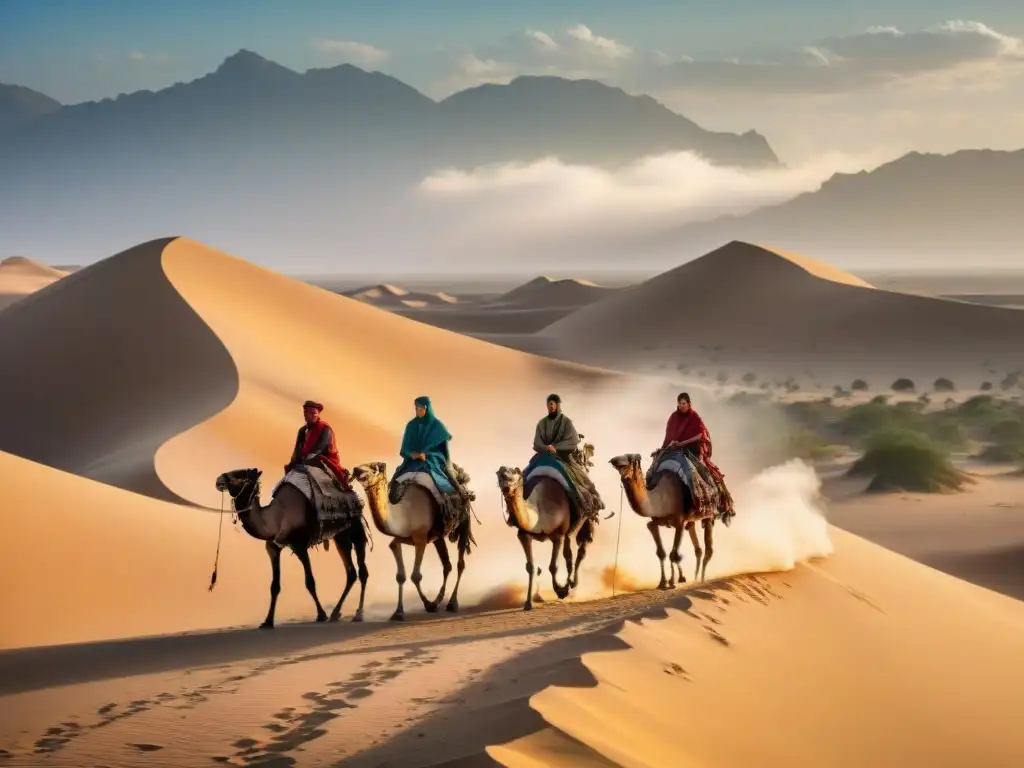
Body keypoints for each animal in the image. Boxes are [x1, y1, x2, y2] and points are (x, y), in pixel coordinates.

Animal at [211, 468, 368, 630]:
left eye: (240, 474)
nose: (219, 480)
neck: (276, 517)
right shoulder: (273, 547)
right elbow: (275, 586)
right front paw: (268, 621)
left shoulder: (299, 546)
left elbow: (310, 582)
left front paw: (321, 615)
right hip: (340, 536)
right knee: (352, 572)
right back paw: (337, 613)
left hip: (354, 528)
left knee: (362, 570)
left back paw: (357, 614)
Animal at [350, 462, 473, 618]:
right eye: (360, 466)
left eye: (373, 468)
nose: (356, 470)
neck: (405, 513)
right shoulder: (398, 540)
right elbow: (400, 575)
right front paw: (398, 612)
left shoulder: (421, 540)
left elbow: (416, 576)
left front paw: (428, 604)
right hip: (437, 536)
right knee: (447, 565)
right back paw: (439, 599)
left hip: (464, 521)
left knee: (460, 564)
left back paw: (452, 603)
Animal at [493, 462, 593, 614]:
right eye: (500, 475)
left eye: (514, 475)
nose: (506, 488)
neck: (538, 511)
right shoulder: (524, 535)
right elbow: (531, 567)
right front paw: (528, 603)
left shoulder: (557, 535)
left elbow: (553, 566)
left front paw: (560, 591)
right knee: (569, 552)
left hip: (584, 518)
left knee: (579, 550)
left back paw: (572, 584)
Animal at [606, 454, 712, 585]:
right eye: (618, 464)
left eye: (629, 459)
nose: (614, 461)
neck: (661, 498)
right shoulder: (654, 522)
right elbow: (661, 553)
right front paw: (663, 582)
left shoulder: (679, 521)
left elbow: (674, 554)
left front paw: (676, 580)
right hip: (691, 519)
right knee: (696, 543)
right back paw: (696, 578)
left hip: (709, 514)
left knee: (708, 548)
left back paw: (702, 579)